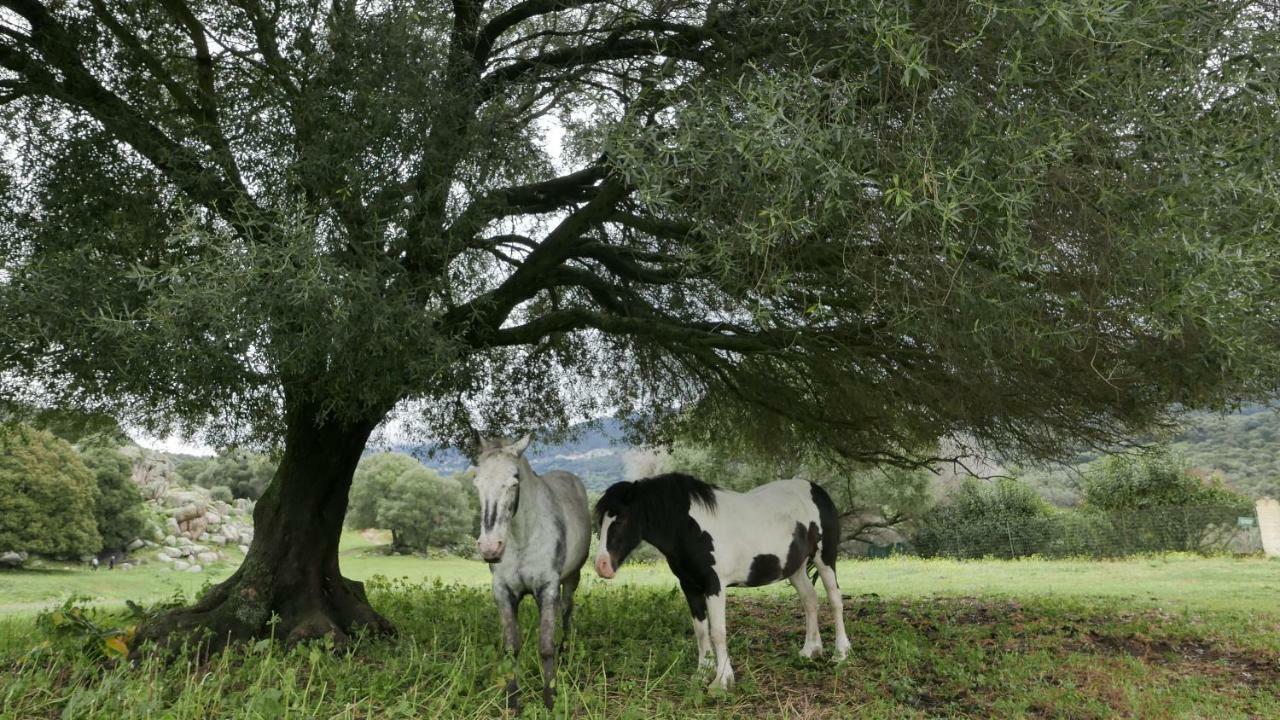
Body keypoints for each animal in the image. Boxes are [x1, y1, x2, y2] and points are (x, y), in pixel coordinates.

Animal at [473, 430, 591, 707]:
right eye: (477, 483)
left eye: (514, 481)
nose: (490, 547)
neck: (521, 537)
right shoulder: (503, 592)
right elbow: (511, 648)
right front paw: (513, 699)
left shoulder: (547, 588)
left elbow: (546, 647)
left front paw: (550, 699)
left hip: (571, 578)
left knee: (567, 612)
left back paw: (565, 655)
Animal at [593, 474, 855, 686]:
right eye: (600, 522)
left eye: (621, 519)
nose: (601, 565)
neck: (689, 527)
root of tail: (817, 490)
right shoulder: (690, 586)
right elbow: (701, 630)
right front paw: (702, 673)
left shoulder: (714, 586)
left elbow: (717, 631)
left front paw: (722, 680)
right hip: (796, 568)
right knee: (810, 601)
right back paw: (811, 650)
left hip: (825, 558)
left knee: (835, 600)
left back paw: (840, 653)